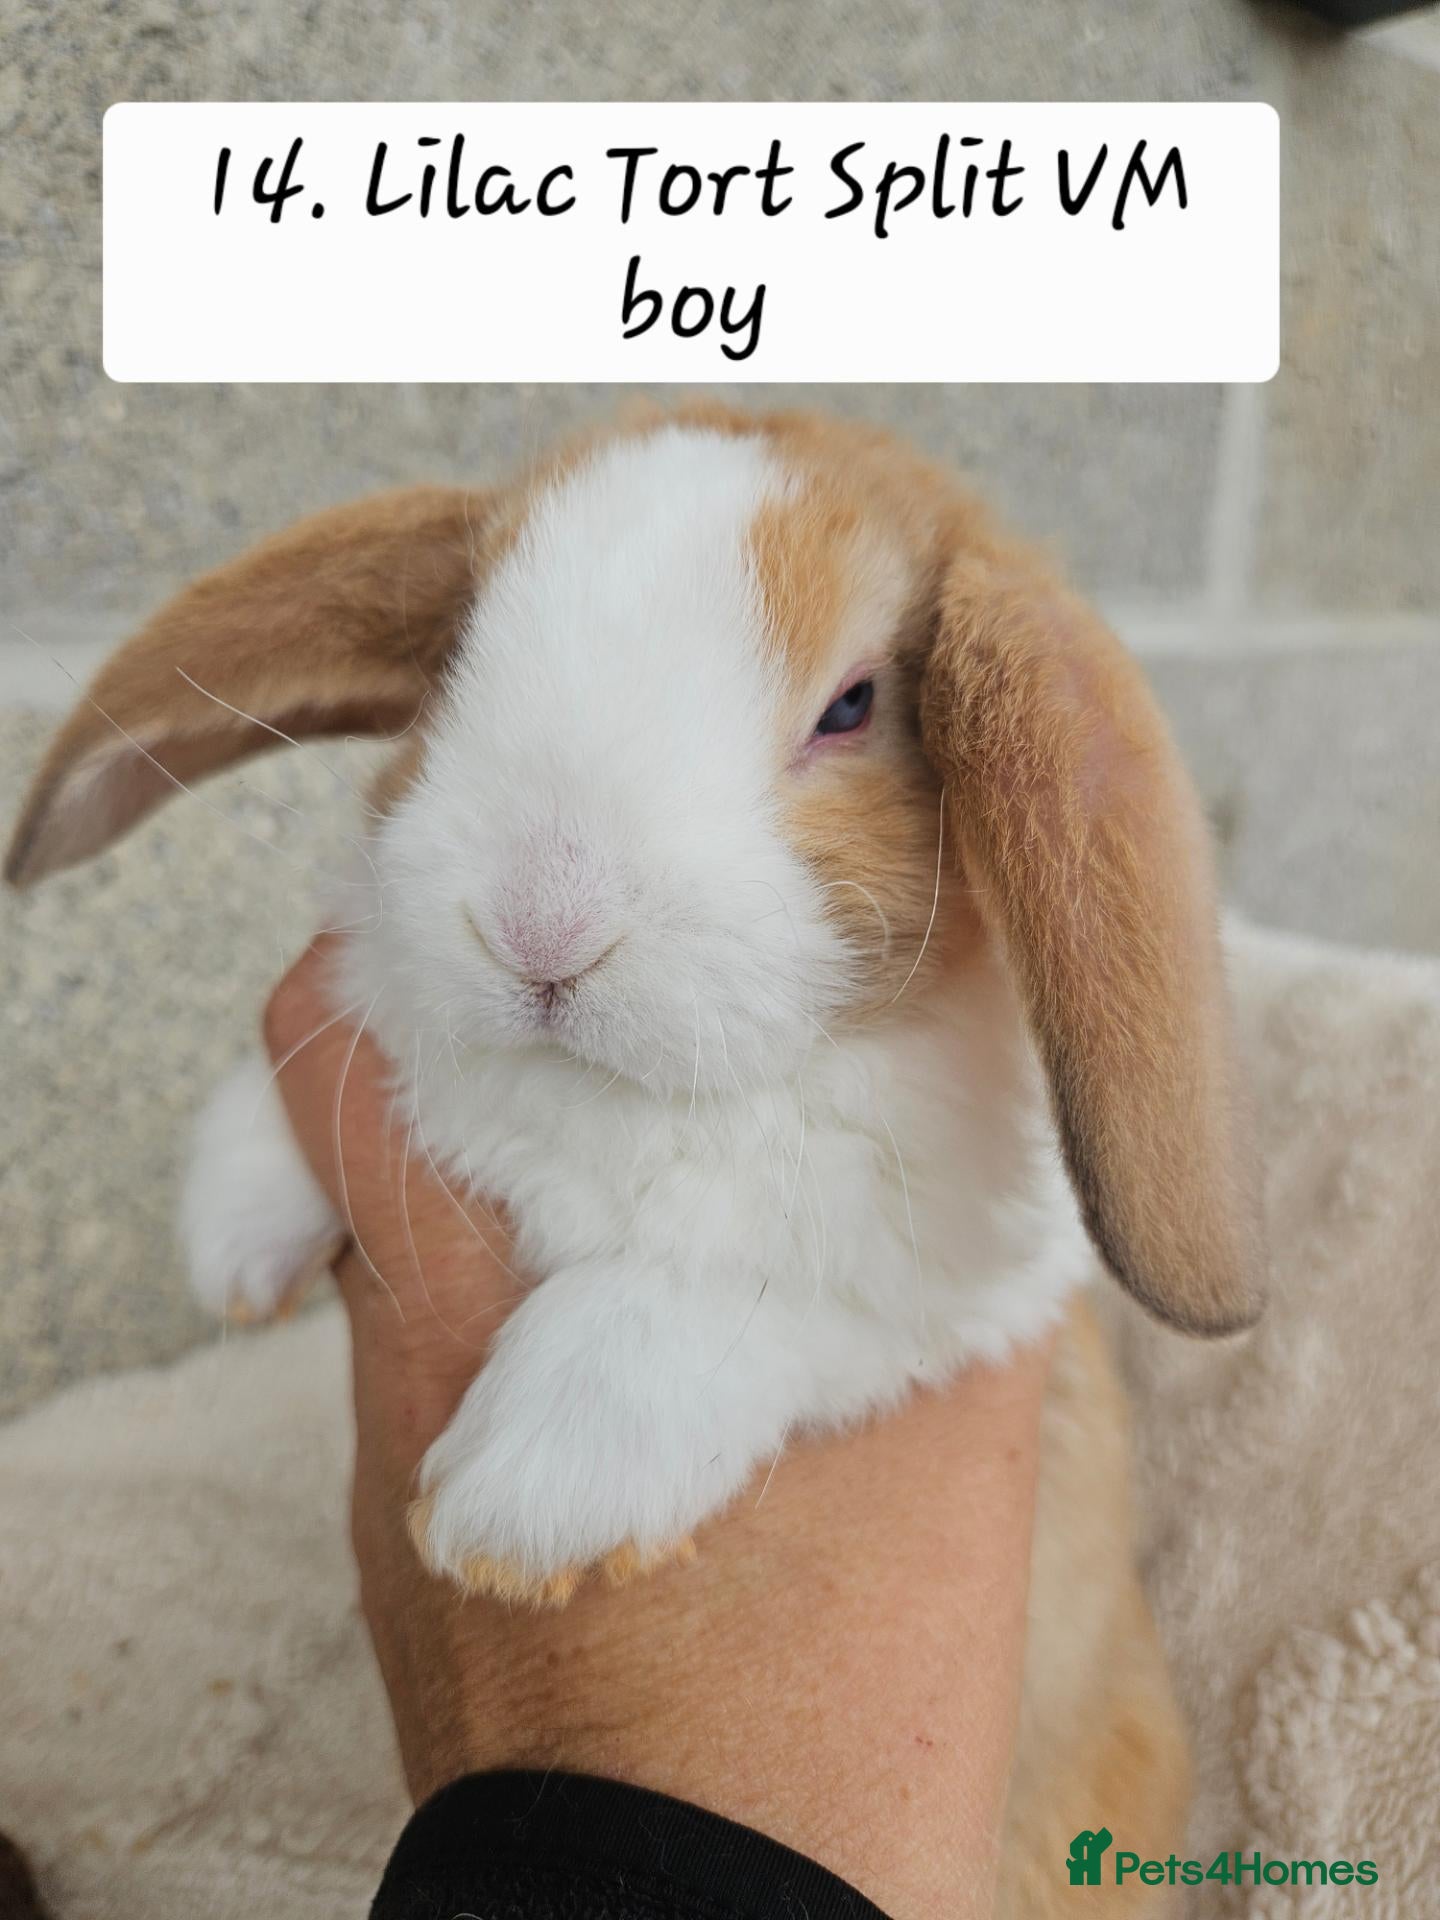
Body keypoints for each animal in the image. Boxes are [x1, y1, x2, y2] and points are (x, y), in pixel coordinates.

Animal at [9, 404, 1262, 1908]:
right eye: (459, 653)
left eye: (853, 706)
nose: (539, 923)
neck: (608, 1098)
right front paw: (234, 1231)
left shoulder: (953, 1287)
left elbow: (726, 1295)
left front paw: (522, 1510)